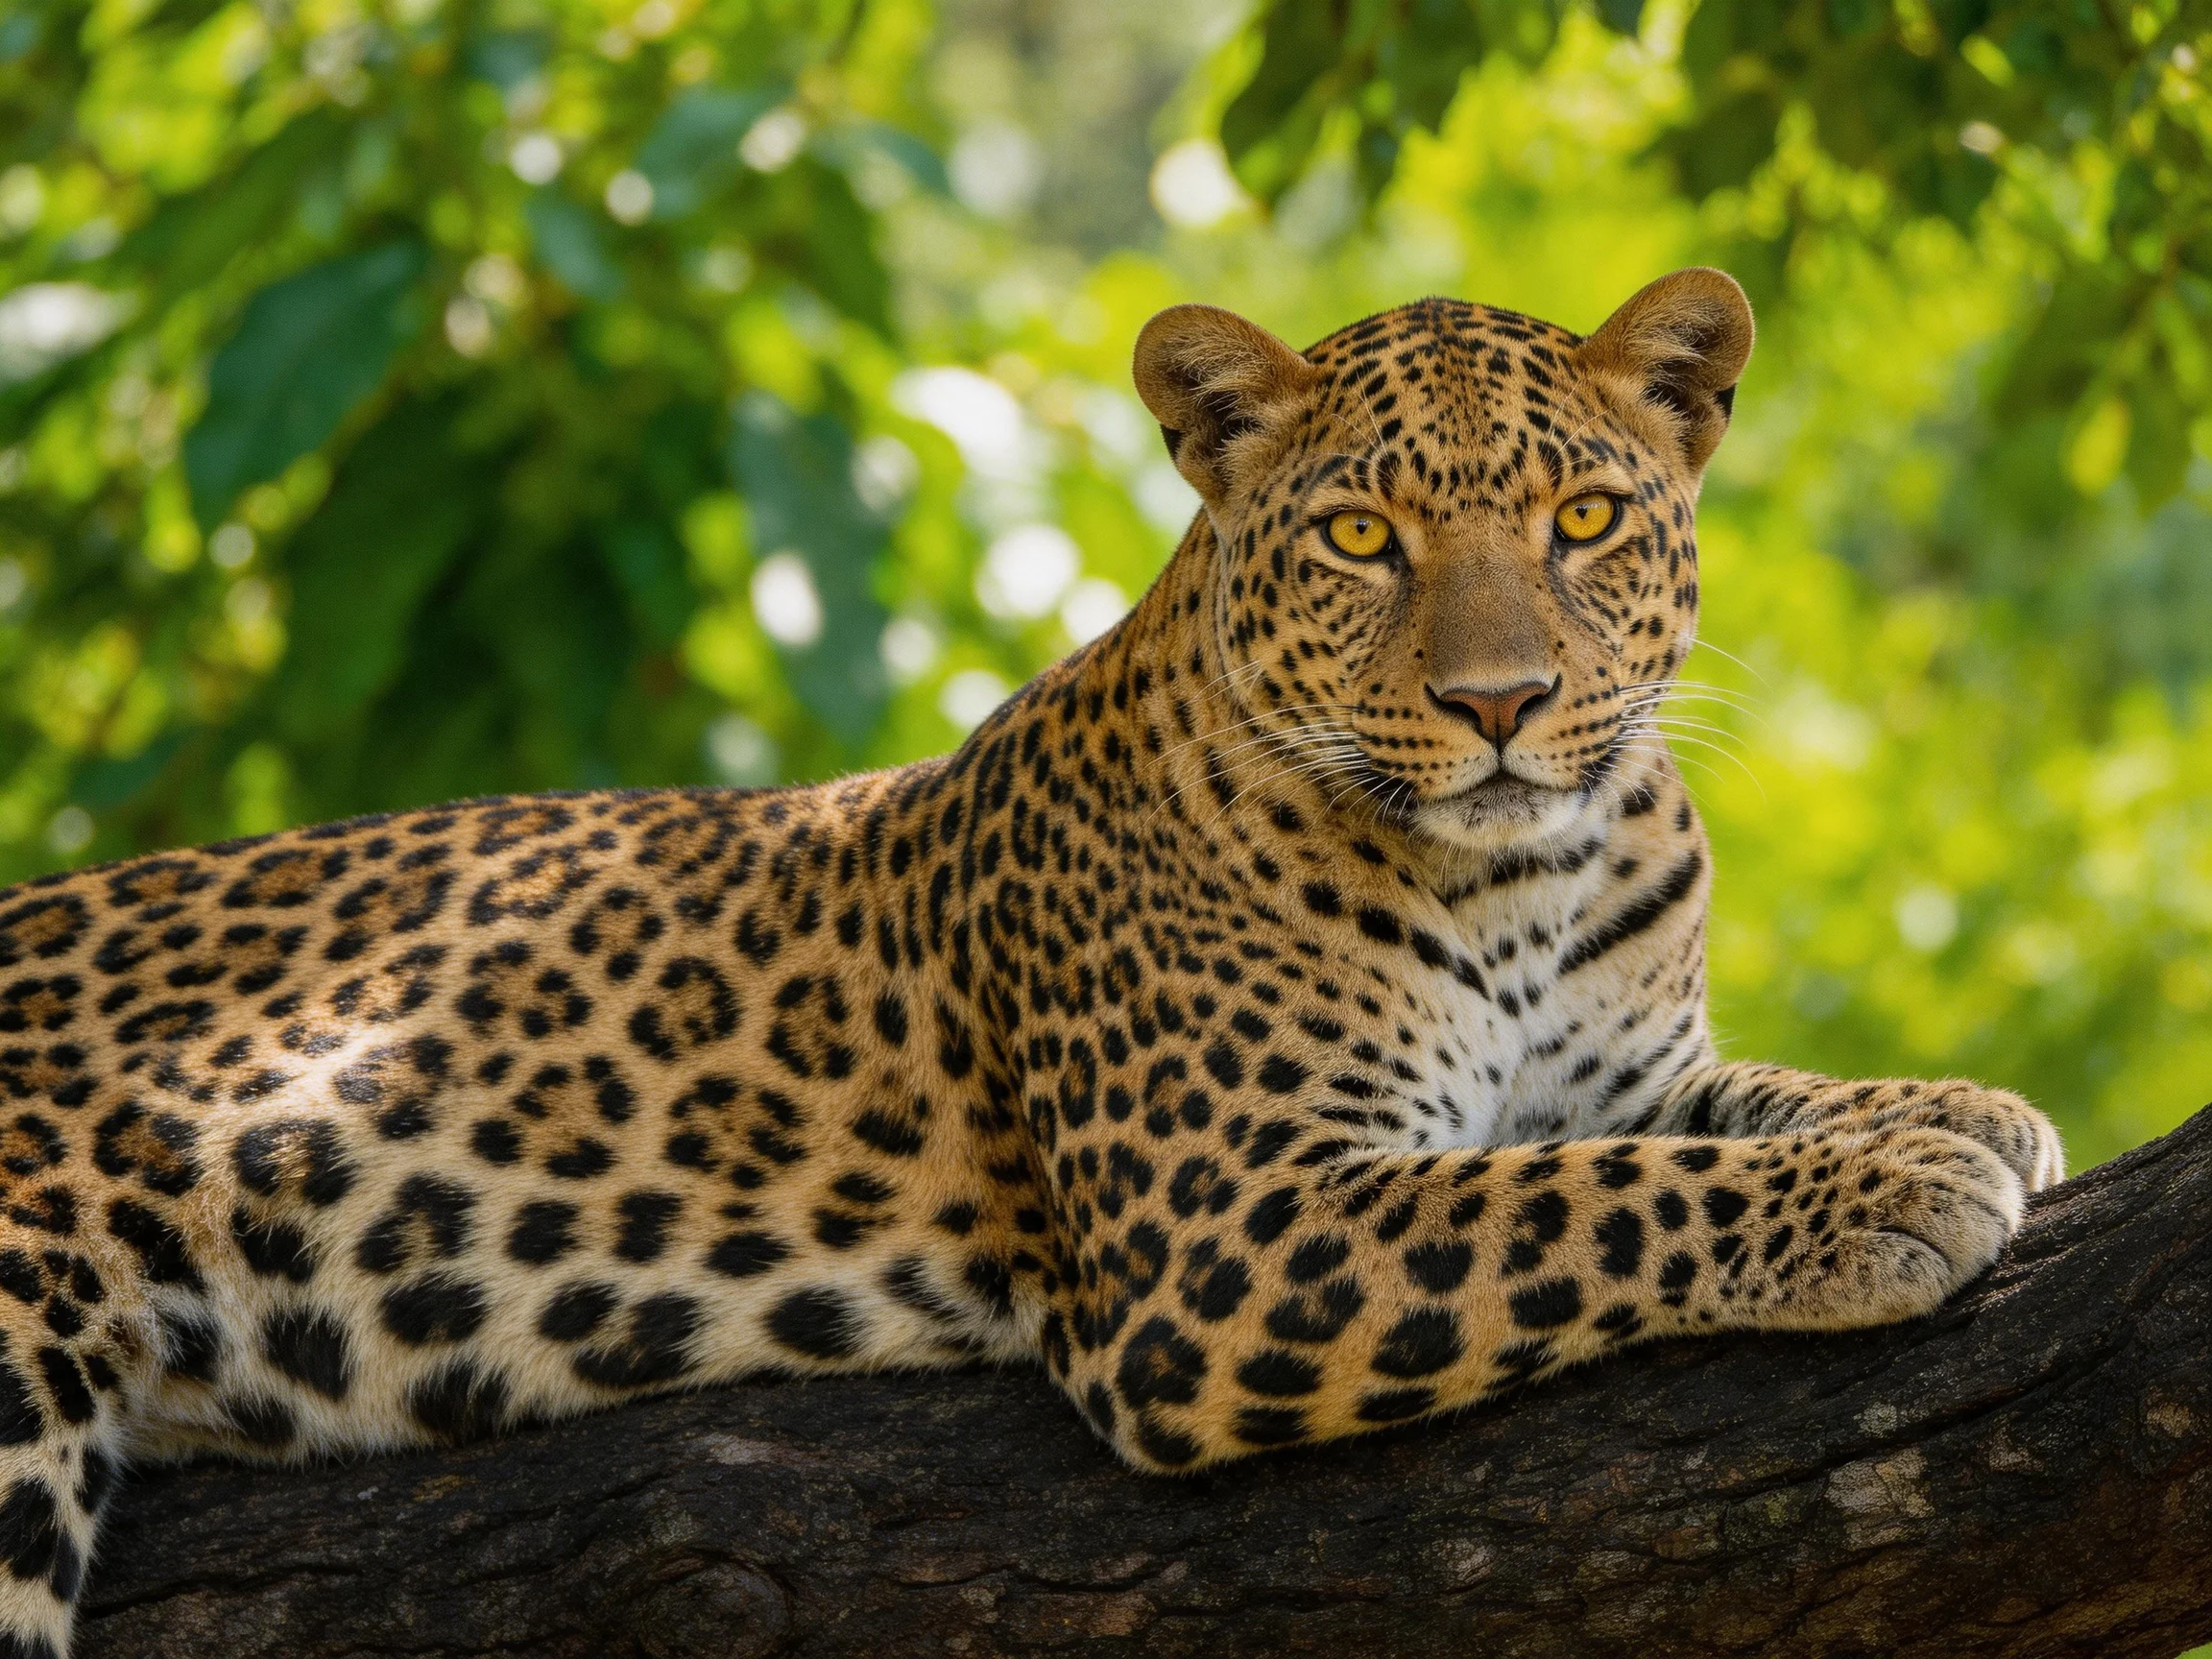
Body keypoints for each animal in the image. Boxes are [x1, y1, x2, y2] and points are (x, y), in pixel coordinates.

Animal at [0, 267, 2063, 1657]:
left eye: (1581, 520)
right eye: (1358, 534)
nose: (1499, 705)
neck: (1521, 879)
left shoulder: (1617, 1066)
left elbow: (1711, 1110)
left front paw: (1958, 1111)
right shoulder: (1223, 1229)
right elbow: (1592, 1195)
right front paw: (1892, 1188)